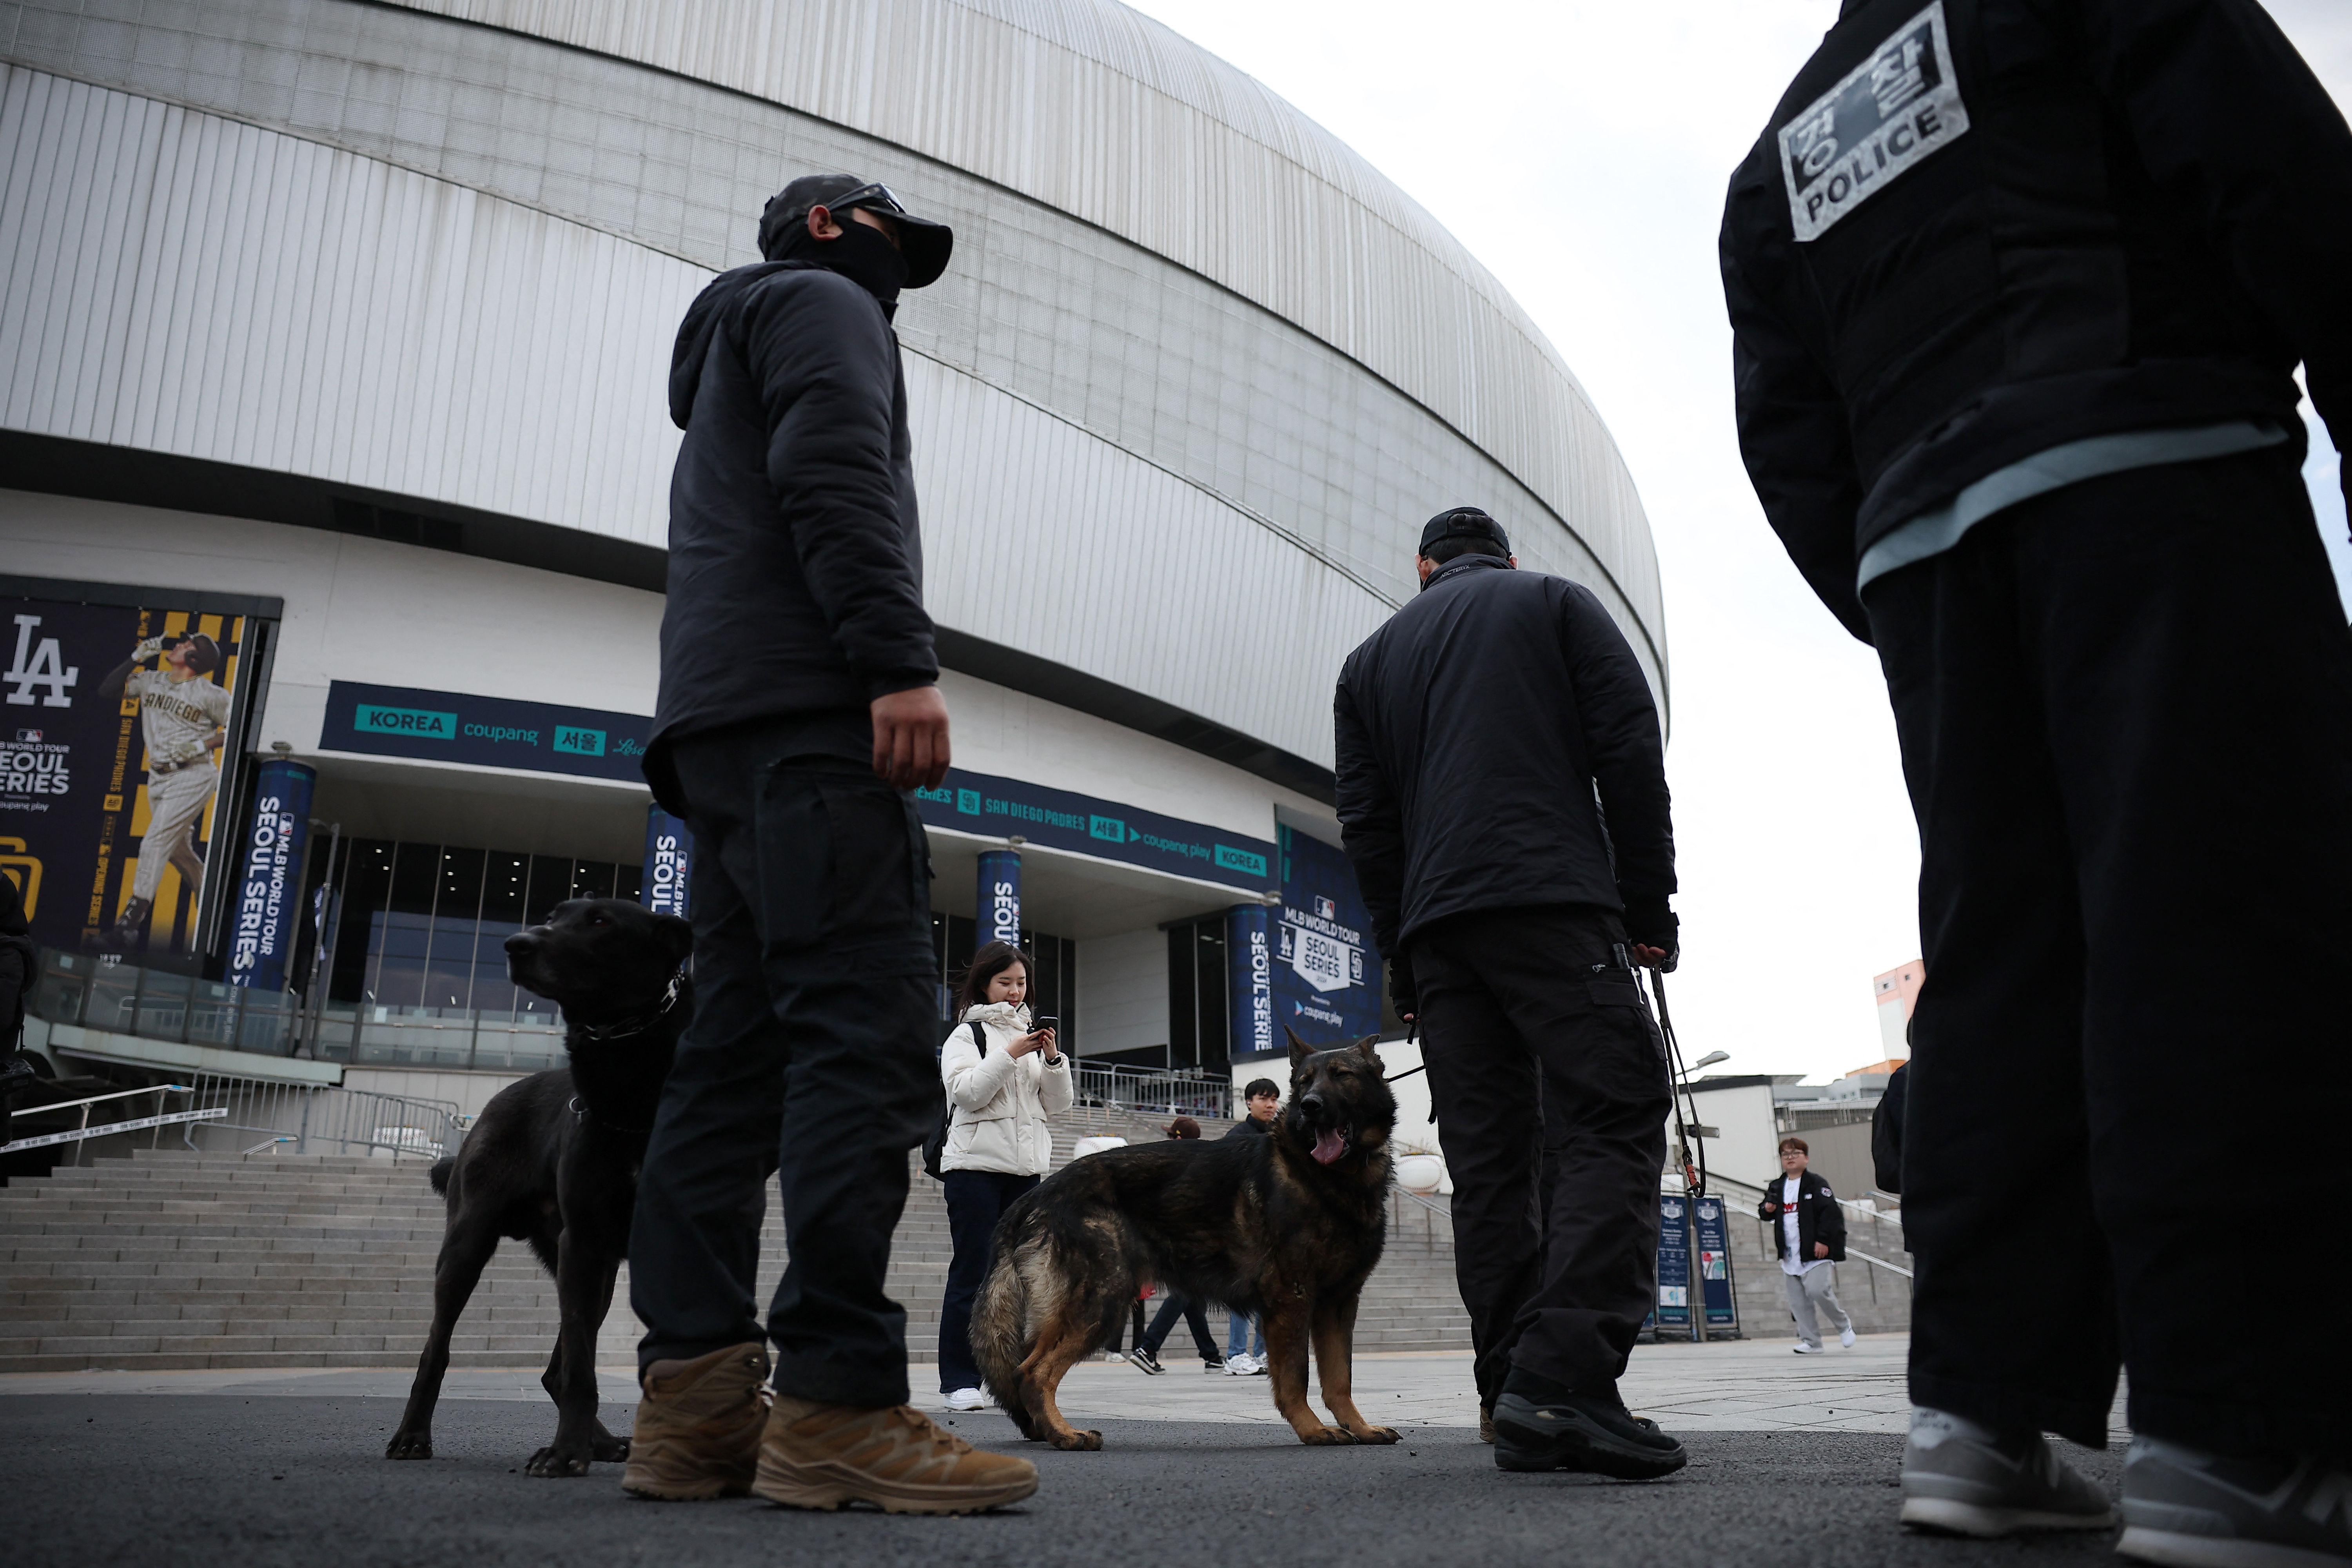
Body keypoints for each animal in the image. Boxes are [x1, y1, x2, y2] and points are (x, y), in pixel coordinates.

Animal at [386, 902, 691, 1476]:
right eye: (554, 915)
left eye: (601, 921)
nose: (517, 944)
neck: (631, 1095)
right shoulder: (585, 1242)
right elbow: (582, 1371)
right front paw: (566, 1452)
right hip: (470, 1246)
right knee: (440, 1348)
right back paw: (413, 1436)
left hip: (587, 1269)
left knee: (557, 1365)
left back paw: (604, 1443)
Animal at [974, 1029, 1392, 1448]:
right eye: (1305, 1082)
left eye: (1341, 1076)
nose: (1309, 1106)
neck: (1326, 1175)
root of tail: (1037, 1195)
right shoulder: (1292, 1298)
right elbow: (1296, 1377)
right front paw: (1313, 1430)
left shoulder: (1338, 1303)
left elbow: (1340, 1380)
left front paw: (1361, 1428)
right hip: (1102, 1303)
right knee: (1033, 1372)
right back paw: (1066, 1435)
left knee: (1021, 1367)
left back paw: (1043, 1429)